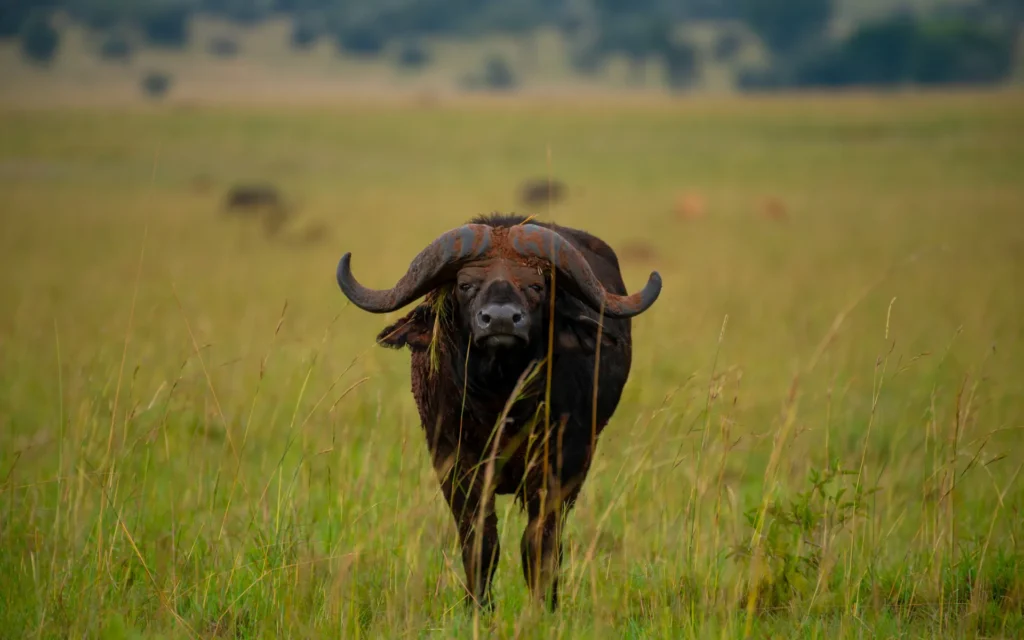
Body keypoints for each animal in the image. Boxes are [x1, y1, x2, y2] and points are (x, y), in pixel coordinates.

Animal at [334, 213, 662, 610]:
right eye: (465, 285)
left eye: (536, 286)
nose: (502, 320)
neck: (500, 402)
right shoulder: (453, 462)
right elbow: (480, 541)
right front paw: (478, 607)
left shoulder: (562, 463)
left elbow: (540, 543)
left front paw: (544, 607)